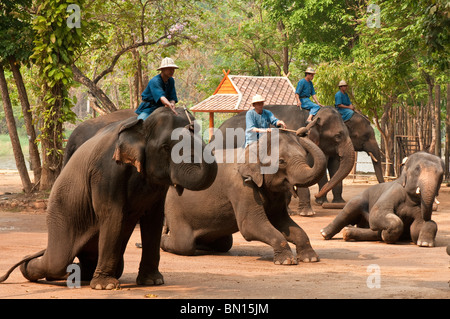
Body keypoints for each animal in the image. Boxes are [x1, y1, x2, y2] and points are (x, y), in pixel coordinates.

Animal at [0, 107, 218, 290]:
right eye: (165, 147)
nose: (190, 123)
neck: (140, 127)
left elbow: (153, 219)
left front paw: (153, 281)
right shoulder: (106, 172)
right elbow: (113, 216)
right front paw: (105, 287)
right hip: (60, 214)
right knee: (57, 261)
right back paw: (30, 266)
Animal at [162, 131, 326, 266]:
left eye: (304, 156)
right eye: (281, 161)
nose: (302, 132)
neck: (254, 148)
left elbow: (282, 222)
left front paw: (310, 258)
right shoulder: (241, 187)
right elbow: (250, 225)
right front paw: (286, 261)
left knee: (225, 243)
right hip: (173, 208)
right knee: (184, 244)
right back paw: (164, 240)